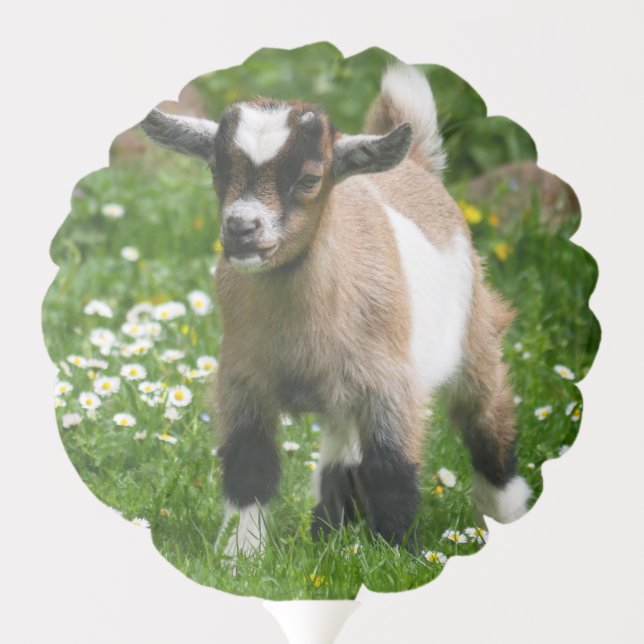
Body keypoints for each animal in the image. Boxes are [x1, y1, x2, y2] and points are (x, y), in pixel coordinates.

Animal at [141, 64, 531, 557]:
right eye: (215, 169)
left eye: (309, 178)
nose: (241, 228)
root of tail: (416, 165)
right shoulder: (242, 378)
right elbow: (249, 463)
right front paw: (239, 556)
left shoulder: (391, 384)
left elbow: (390, 470)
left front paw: (400, 557)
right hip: (343, 392)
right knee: (340, 451)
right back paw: (329, 532)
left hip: (475, 334)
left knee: (486, 421)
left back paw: (506, 515)